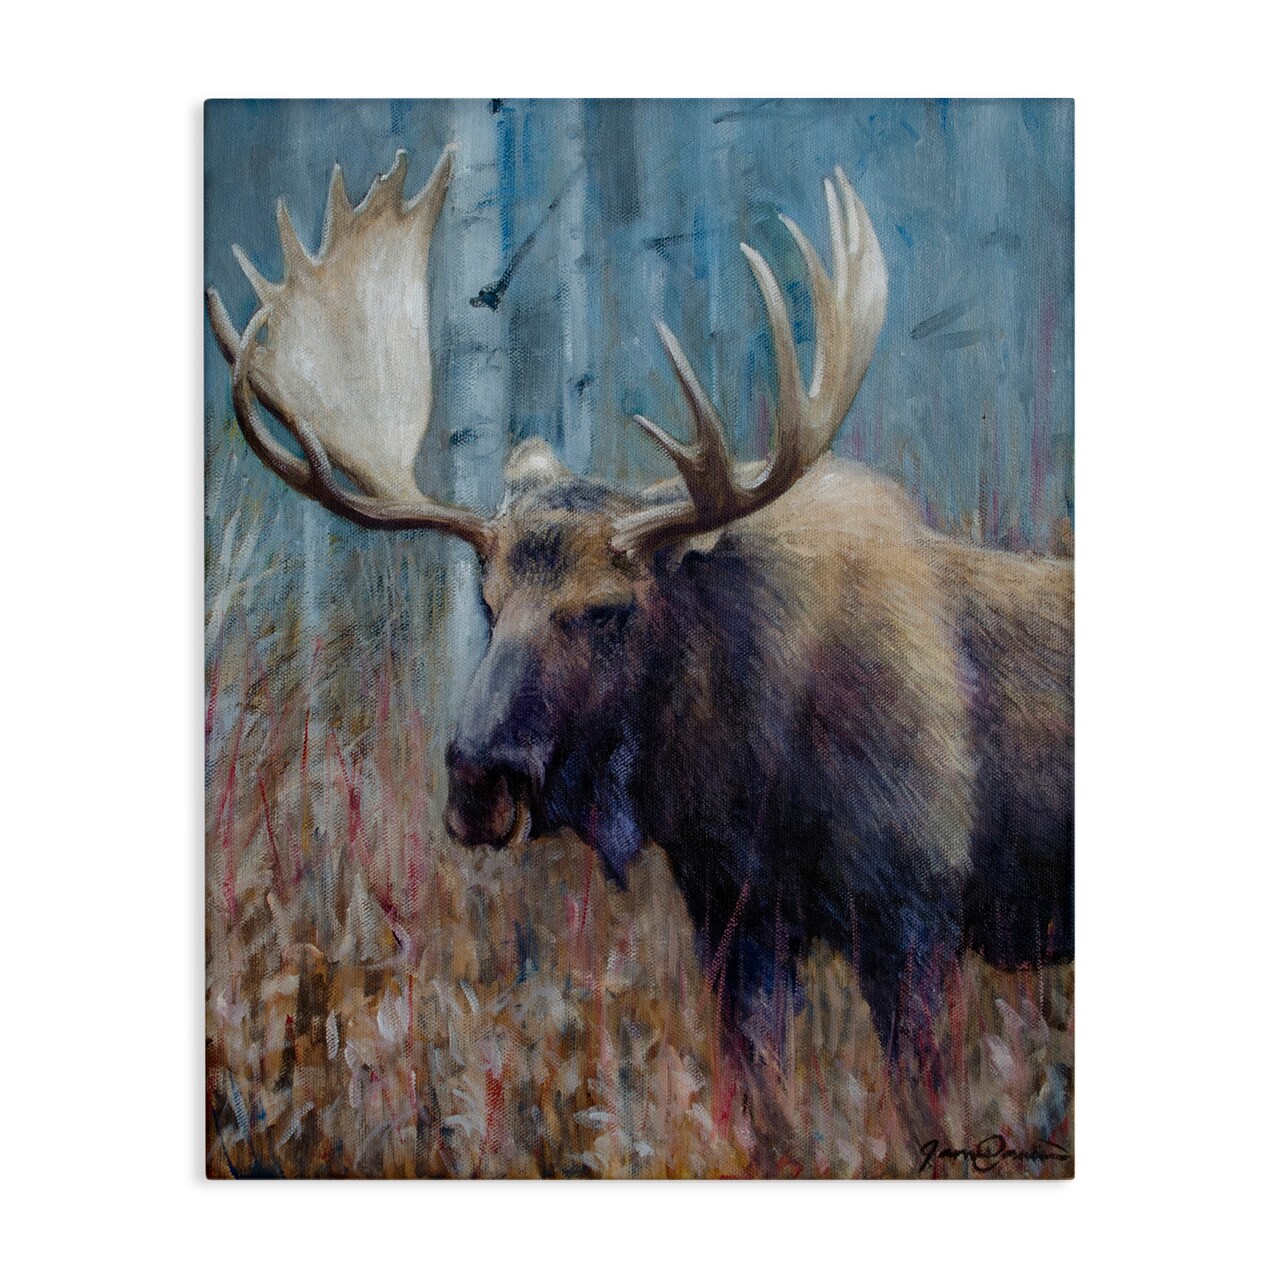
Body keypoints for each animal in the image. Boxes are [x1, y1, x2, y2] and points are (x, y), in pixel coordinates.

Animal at [207, 145, 1073, 1143]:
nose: (476, 777)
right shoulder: (735, 918)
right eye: (487, 602)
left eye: (608, 609)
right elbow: (758, 1107)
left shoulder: (916, 912)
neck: (736, 774)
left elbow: (926, 1110)